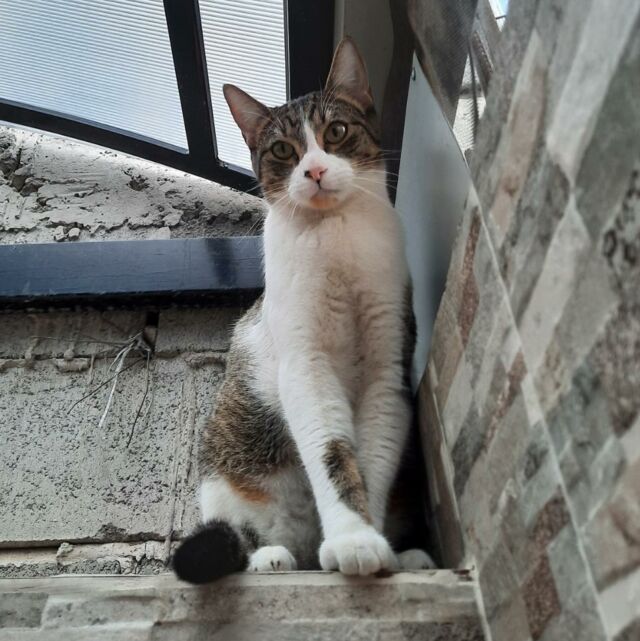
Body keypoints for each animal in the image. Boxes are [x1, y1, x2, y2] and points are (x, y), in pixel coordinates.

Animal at [173, 37, 434, 583]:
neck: (336, 234)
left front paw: (371, 540)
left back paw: (406, 554)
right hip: (223, 465)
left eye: (336, 132)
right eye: (282, 150)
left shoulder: (388, 368)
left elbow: (369, 461)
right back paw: (270, 558)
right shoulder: (305, 364)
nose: (313, 170)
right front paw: (354, 540)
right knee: (241, 532)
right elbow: (332, 452)